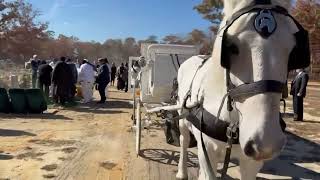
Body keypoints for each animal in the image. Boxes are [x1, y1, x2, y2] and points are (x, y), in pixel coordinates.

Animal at [176, 0, 302, 180]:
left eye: (292, 51)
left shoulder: (251, 163)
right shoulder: (207, 151)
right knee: (184, 140)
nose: (266, 144)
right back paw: (182, 171)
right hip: (182, 117)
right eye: (232, 48)